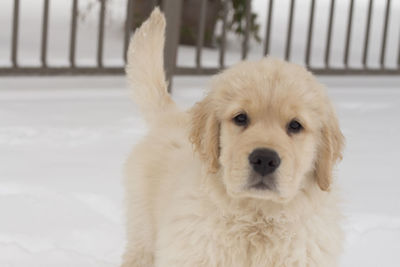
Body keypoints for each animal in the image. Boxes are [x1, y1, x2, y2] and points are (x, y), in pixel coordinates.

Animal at [122, 8, 344, 267]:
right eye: (240, 118)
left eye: (295, 125)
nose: (264, 159)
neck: (257, 219)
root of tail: (171, 116)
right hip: (142, 236)